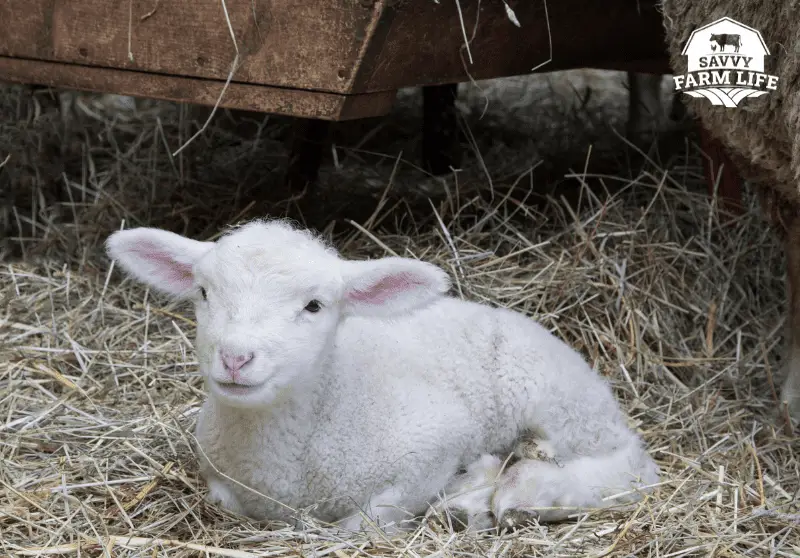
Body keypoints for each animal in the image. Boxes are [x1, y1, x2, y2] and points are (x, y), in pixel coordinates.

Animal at [105, 219, 659, 532]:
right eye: (203, 293)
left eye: (314, 305)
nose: (237, 358)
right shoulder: (218, 474)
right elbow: (226, 499)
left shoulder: (435, 438)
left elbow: (367, 520)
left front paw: (467, 489)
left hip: (557, 399)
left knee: (631, 469)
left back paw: (522, 490)